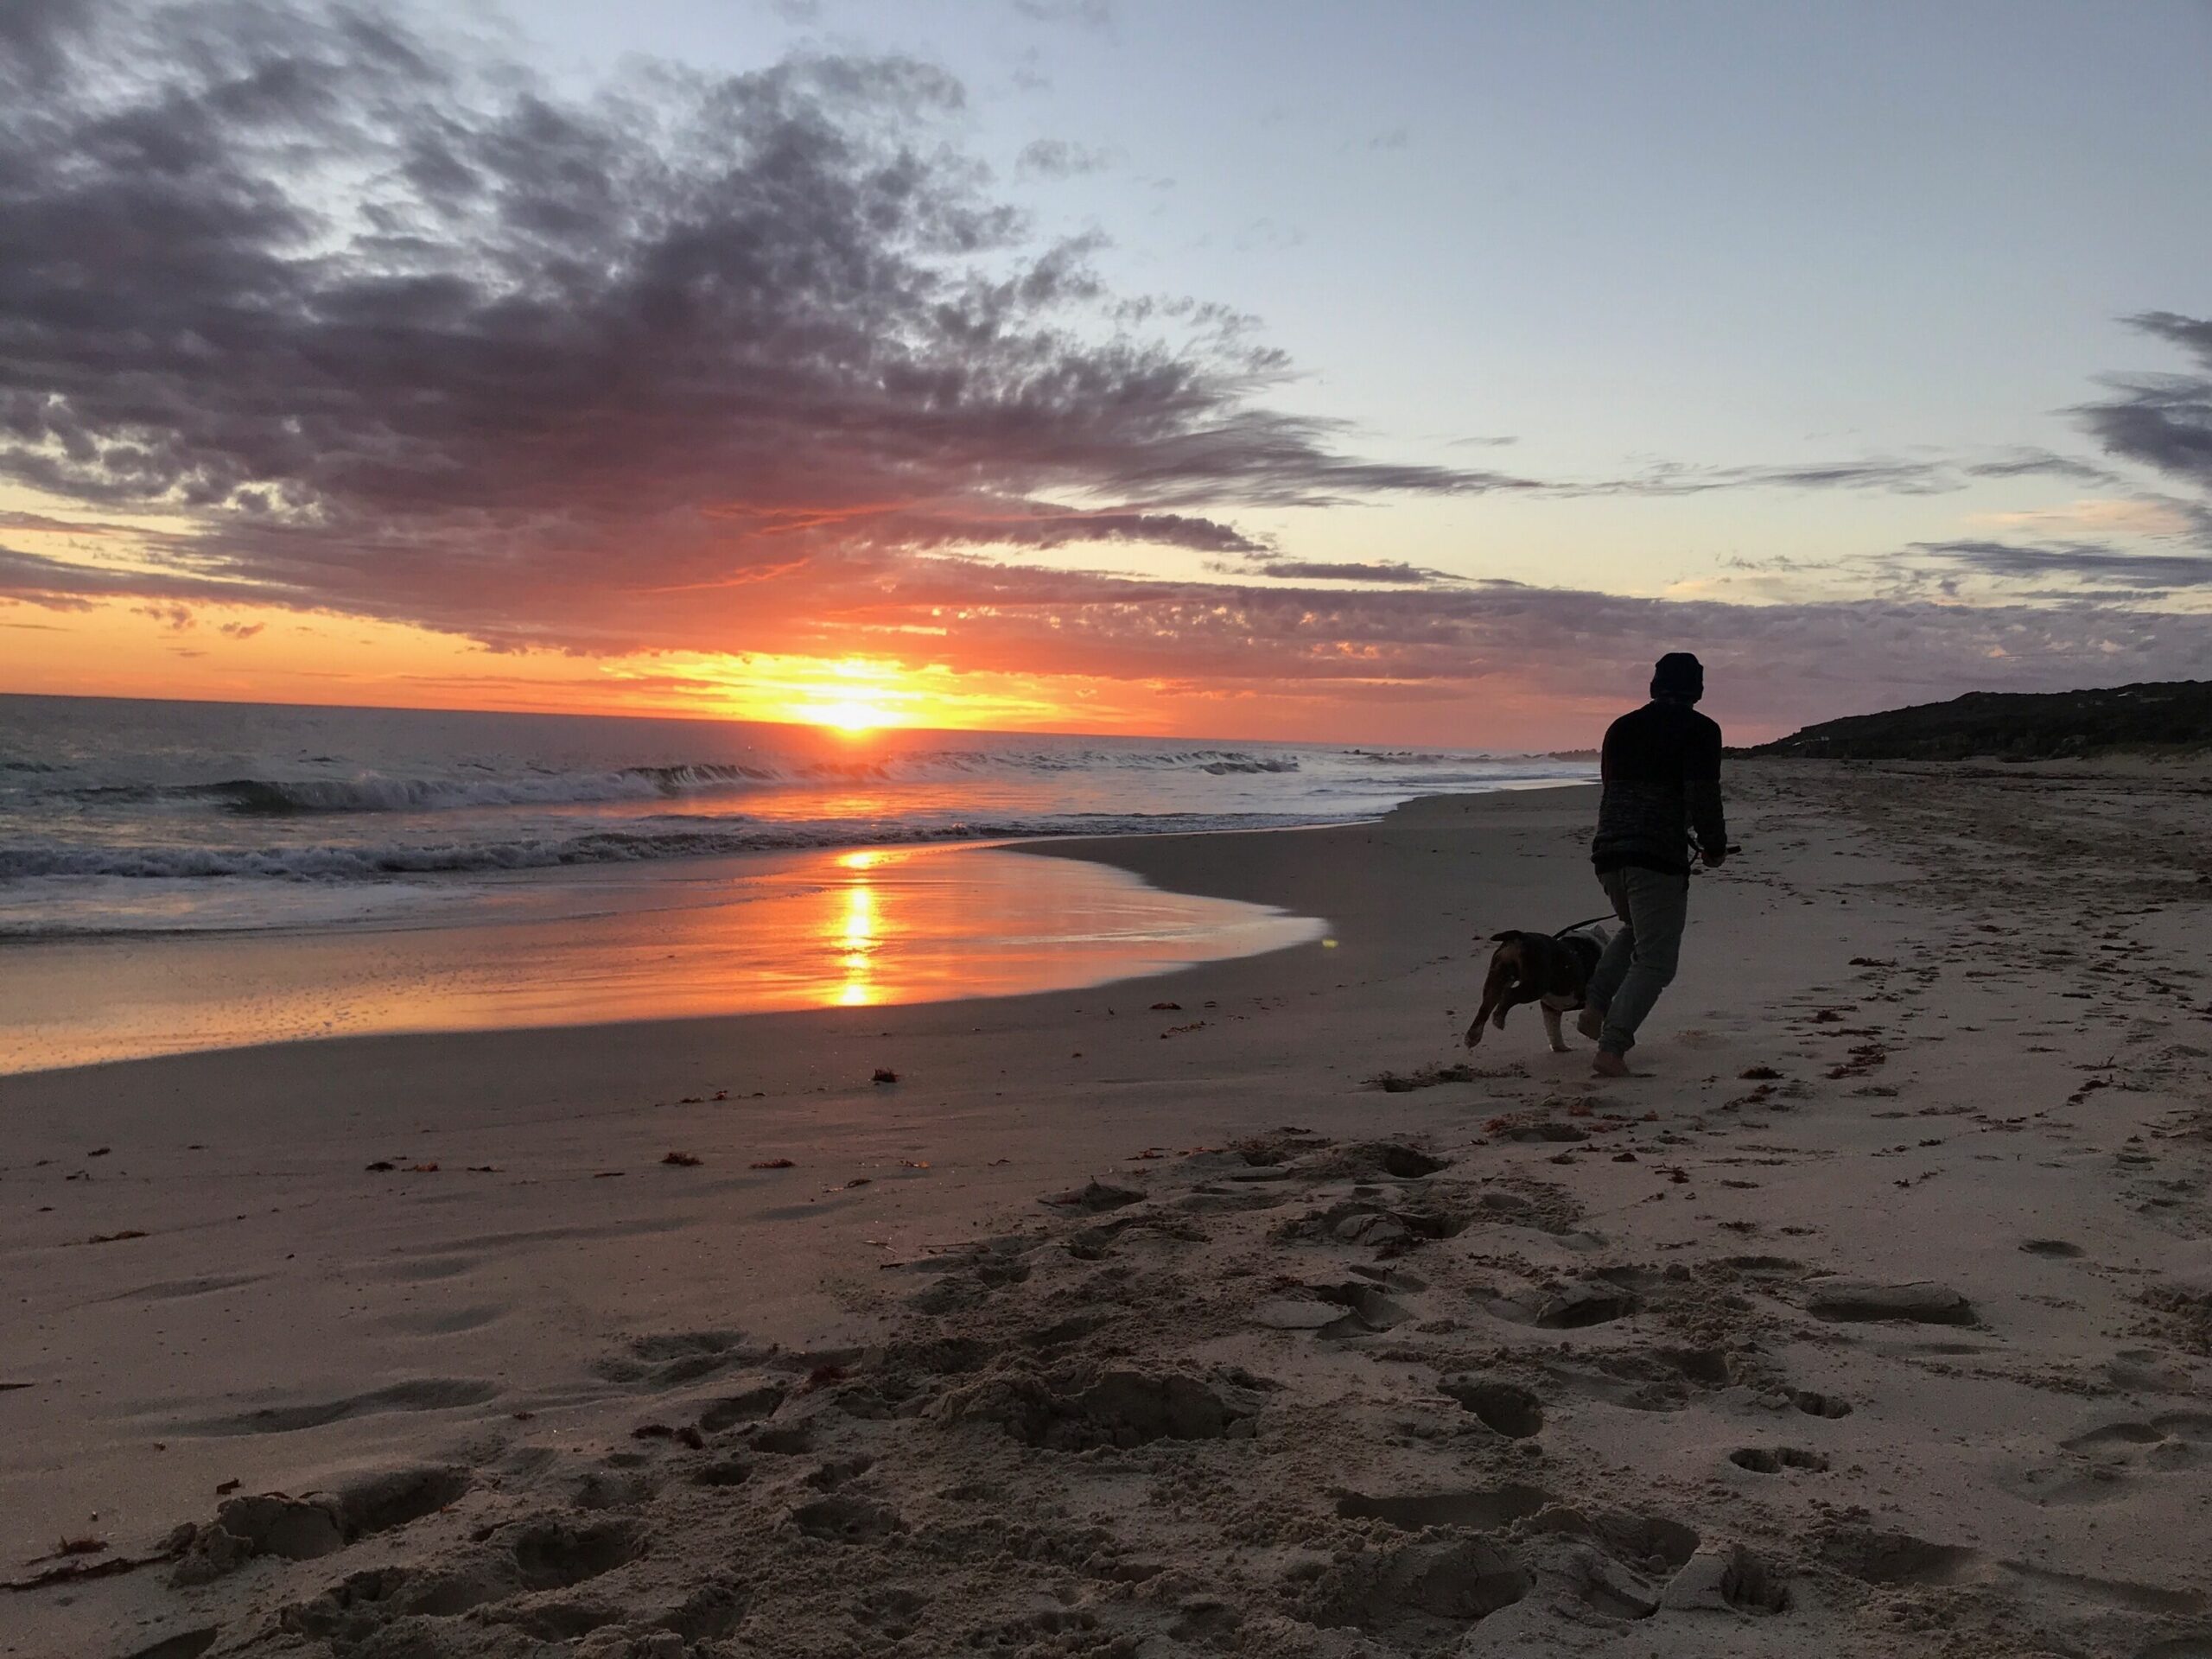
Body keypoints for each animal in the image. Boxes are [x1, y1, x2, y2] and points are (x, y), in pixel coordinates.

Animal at [1459, 925, 1618, 1052]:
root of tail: (1520, 936)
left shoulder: (1551, 1008)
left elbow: (1553, 1028)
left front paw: (1560, 1048)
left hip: (1497, 977)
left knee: (1485, 1007)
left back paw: (1472, 1037)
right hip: (1534, 985)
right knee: (1509, 995)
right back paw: (1499, 1019)